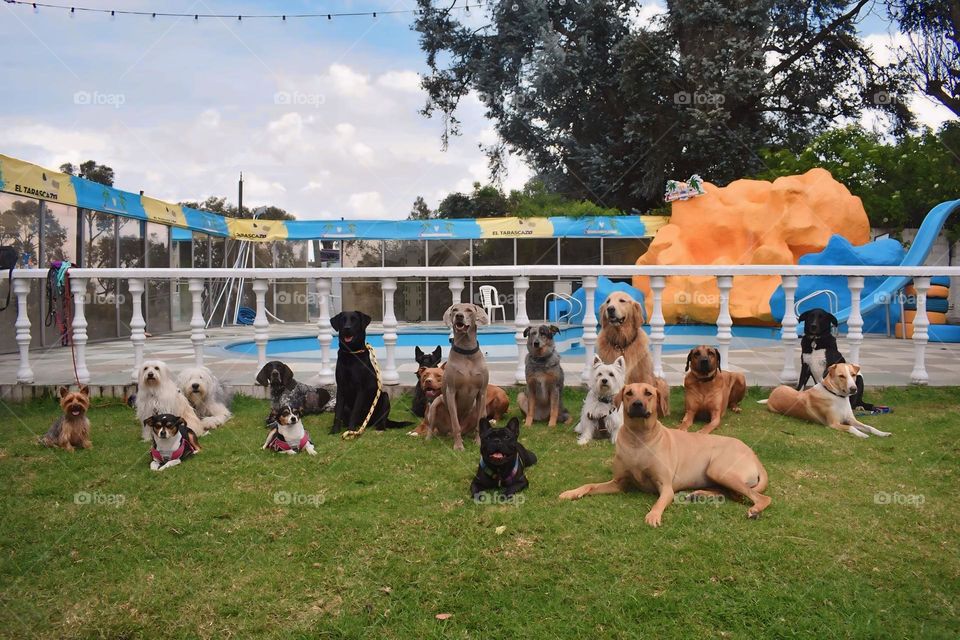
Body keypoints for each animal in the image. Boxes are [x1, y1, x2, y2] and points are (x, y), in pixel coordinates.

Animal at [438, 304, 492, 450]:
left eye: (469, 310)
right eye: (455, 310)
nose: (459, 316)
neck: (467, 352)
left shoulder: (482, 392)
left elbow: (480, 423)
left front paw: (478, 442)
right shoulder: (451, 391)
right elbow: (455, 423)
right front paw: (458, 446)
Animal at [560, 382, 768, 528]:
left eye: (648, 393)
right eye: (629, 393)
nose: (637, 404)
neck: (639, 439)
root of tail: (753, 454)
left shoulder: (666, 488)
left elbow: (659, 502)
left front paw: (653, 515)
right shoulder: (619, 483)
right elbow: (589, 485)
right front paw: (572, 492)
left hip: (719, 469)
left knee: (760, 498)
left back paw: (754, 510)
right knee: (730, 493)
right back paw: (700, 493)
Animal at [760, 362, 888, 438]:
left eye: (853, 375)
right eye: (841, 376)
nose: (853, 389)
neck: (837, 395)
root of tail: (772, 395)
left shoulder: (850, 419)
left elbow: (869, 427)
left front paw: (883, 433)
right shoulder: (833, 424)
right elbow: (851, 427)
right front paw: (862, 434)